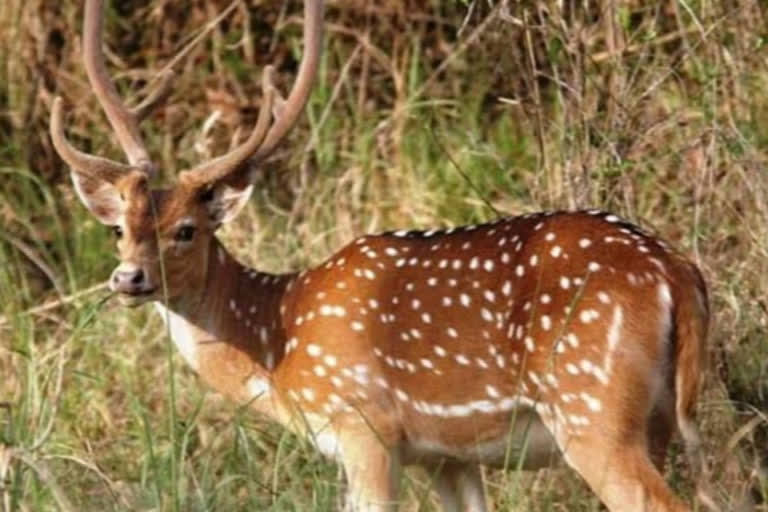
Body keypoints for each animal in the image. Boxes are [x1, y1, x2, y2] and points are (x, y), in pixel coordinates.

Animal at [48, 1, 712, 512]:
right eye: (119, 230)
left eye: (186, 230)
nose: (128, 277)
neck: (277, 341)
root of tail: (675, 272)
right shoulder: (445, 455)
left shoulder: (363, 426)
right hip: (662, 419)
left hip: (591, 407)